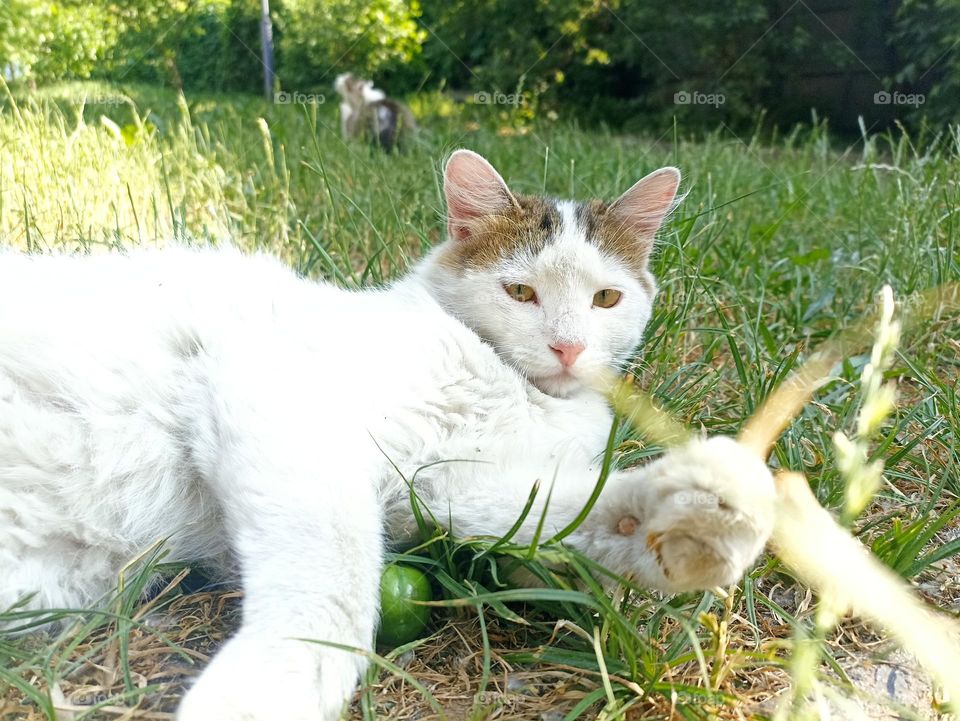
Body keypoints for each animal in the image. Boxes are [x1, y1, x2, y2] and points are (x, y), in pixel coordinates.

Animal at [0, 149, 776, 716]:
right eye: (520, 292)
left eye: (606, 298)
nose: (567, 347)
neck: (514, 389)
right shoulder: (272, 386)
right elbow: (336, 574)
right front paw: (273, 682)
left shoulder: (458, 487)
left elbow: (576, 511)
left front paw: (696, 519)